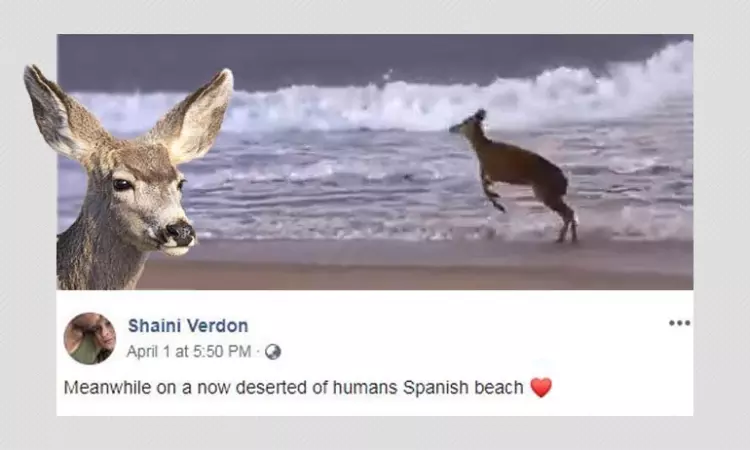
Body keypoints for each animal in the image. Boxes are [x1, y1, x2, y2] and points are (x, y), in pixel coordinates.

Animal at [449, 108, 578, 243]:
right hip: (550, 193)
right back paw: (569, 237)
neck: (483, 148)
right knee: (569, 212)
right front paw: (497, 200)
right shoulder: (490, 173)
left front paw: (498, 203)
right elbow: (484, 184)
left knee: (568, 213)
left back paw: (564, 237)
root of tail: (564, 181)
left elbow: (484, 186)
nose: (452, 128)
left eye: (465, 121)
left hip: (546, 193)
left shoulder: (496, 173)